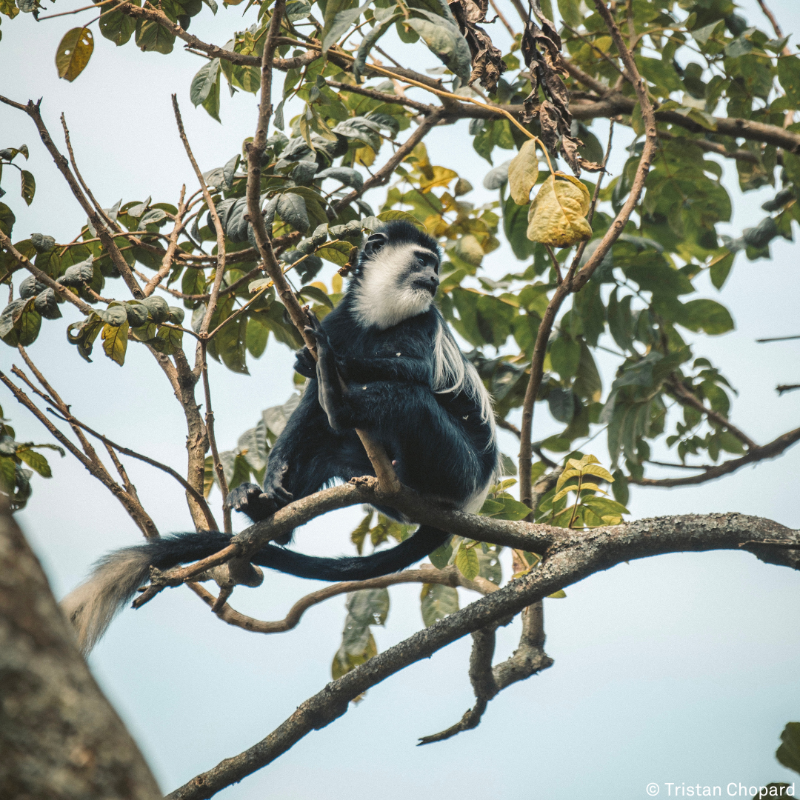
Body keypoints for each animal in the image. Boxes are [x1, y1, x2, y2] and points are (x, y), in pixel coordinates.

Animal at [63, 221, 499, 653]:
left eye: (435, 266)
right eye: (423, 261)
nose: (434, 279)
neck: (380, 315)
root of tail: (468, 499)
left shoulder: (422, 321)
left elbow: (417, 371)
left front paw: (331, 361)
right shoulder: (341, 318)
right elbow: (307, 410)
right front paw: (275, 473)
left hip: (454, 467)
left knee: (409, 399)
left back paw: (339, 402)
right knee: (324, 440)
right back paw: (264, 507)